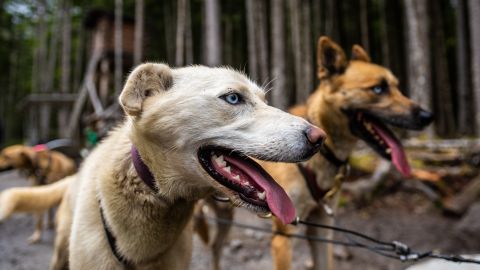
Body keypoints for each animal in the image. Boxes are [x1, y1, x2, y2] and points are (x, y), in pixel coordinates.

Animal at [196, 36, 436, 270]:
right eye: (378, 89)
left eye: (397, 86)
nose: (427, 116)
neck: (323, 155)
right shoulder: (283, 236)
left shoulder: (321, 227)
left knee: (215, 247)